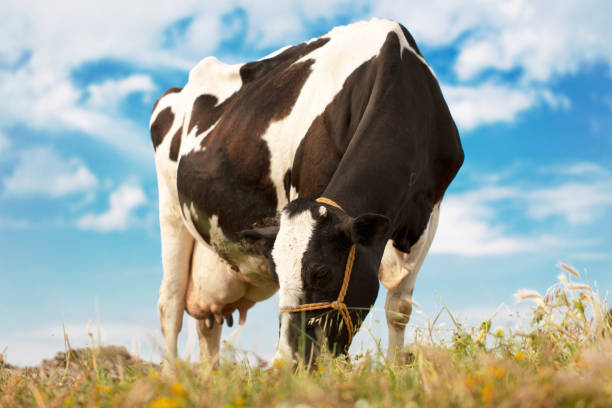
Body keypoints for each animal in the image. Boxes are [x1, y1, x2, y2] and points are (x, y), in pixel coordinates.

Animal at [149, 17, 464, 364]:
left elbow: (399, 308)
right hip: (170, 212)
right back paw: (172, 373)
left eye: (322, 272)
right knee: (170, 307)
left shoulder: (428, 214)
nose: (289, 360)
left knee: (207, 326)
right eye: (276, 273)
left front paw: (396, 367)